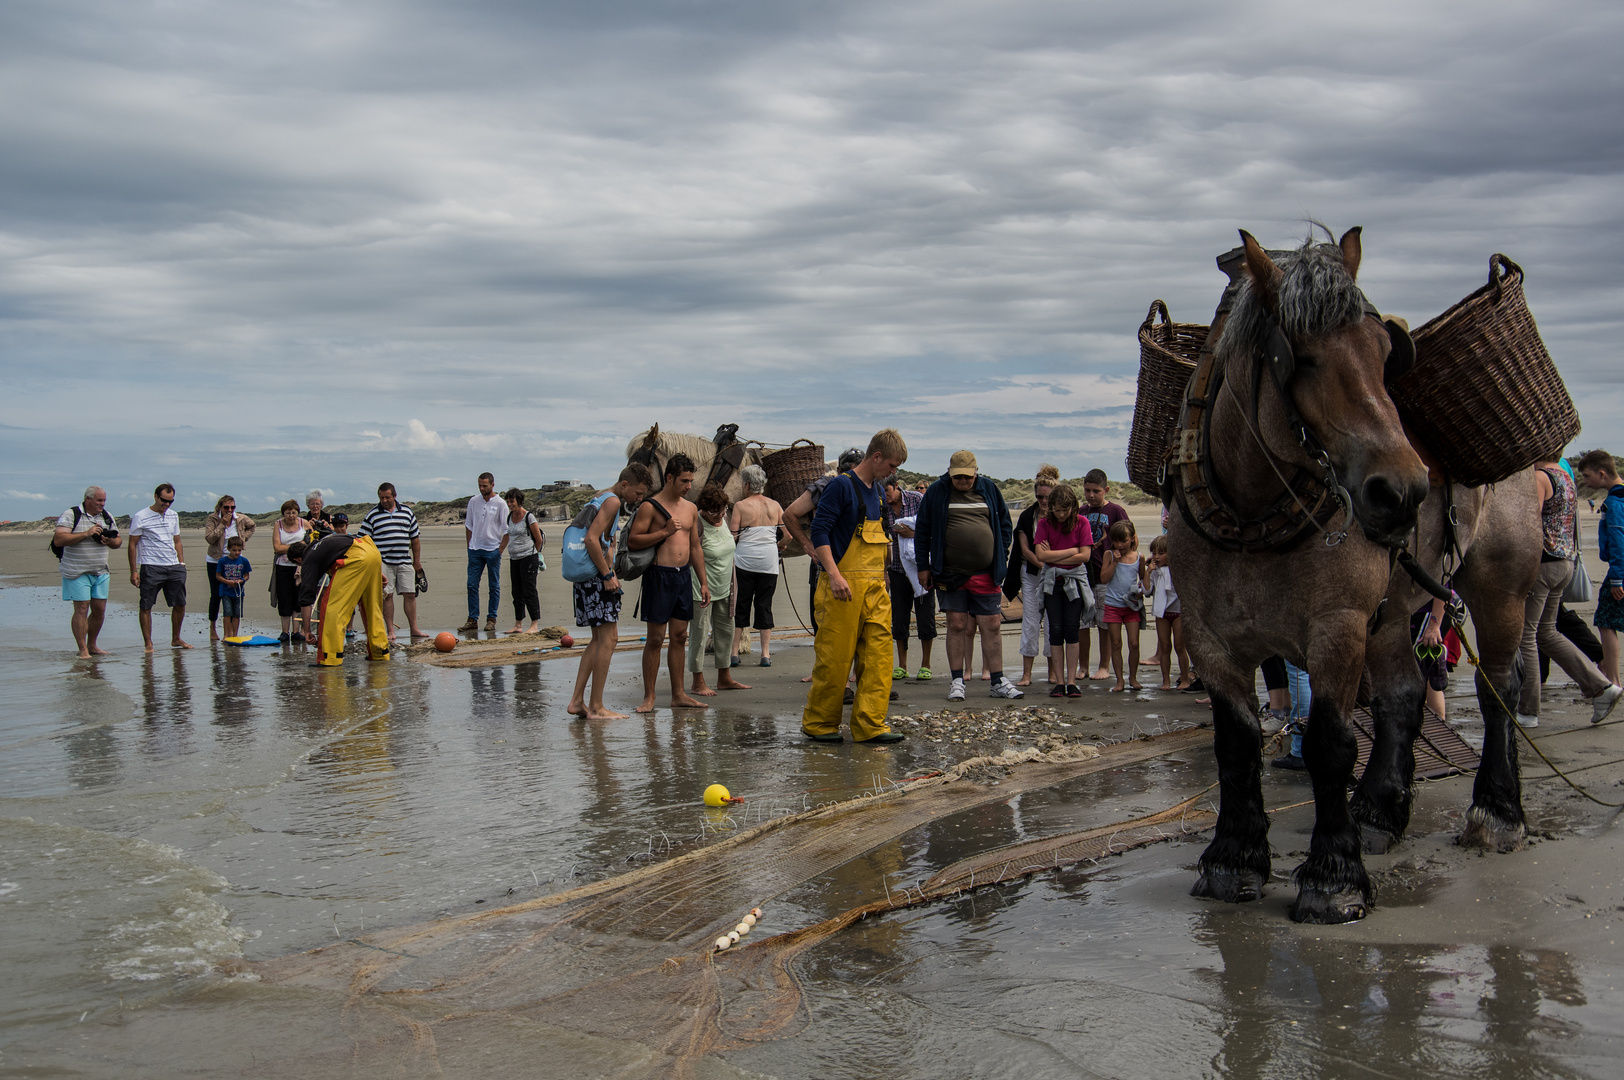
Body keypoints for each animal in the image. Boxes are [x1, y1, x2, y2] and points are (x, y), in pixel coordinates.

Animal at [1169, 227, 1461, 915]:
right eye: (1296, 357)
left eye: (1383, 353)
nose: (1403, 492)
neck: (1249, 519)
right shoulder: (1208, 638)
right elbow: (1236, 743)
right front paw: (1234, 857)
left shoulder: (1337, 628)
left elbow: (1330, 744)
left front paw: (1334, 874)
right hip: (1391, 619)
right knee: (1404, 697)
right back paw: (1380, 814)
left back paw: (1498, 813)